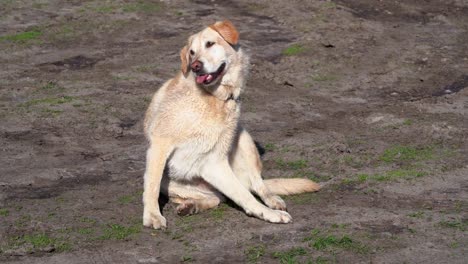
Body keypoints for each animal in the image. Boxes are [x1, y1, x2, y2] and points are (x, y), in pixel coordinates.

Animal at [142, 20, 318, 229]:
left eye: (210, 44)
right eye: (191, 52)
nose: (195, 66)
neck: (213, 98)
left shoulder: (214, 160)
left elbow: (245, 196)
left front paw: (269, 213)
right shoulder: (160, 145)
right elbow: (151, 185)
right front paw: (152, 216)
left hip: (244, 139)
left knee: (256, 185)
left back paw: (272, 201)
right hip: (174, 182)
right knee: (217, 197)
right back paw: (191, 206)